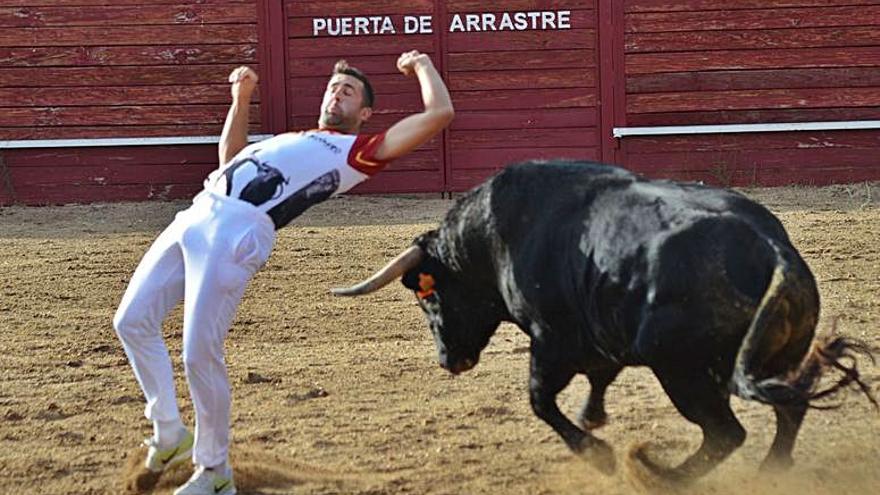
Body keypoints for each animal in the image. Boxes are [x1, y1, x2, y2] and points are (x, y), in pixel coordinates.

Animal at [330, 161, 872, 482]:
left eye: (429, 297)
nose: (449, 360)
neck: (494, 236)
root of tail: (772, 248)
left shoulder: (550, 340)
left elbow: (540, 401)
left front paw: (599, 454)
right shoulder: (601, 336)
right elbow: (598, 378)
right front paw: (594, 418)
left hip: (683, 371)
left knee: (726, 432)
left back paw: (658, 475)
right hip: (766, 359)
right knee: (790, 407)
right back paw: (769, 473)